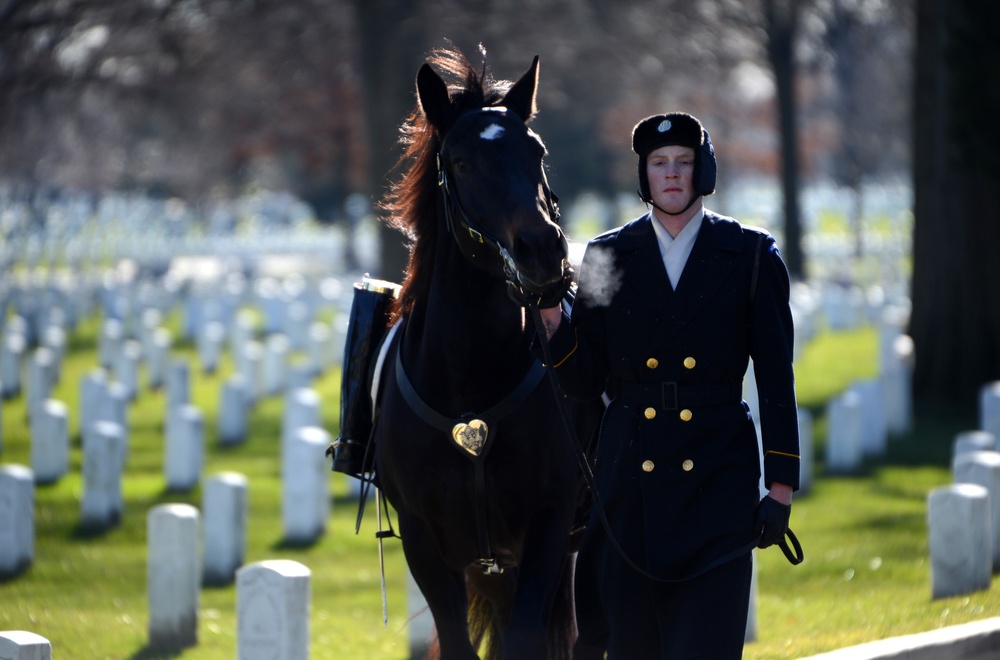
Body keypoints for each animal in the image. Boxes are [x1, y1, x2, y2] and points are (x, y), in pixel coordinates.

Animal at [372, 49, 596, 656]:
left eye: (536, 151)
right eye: (462, 161)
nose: (542, 250)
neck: (469, 380)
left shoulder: (548, 529)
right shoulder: (426, 543)